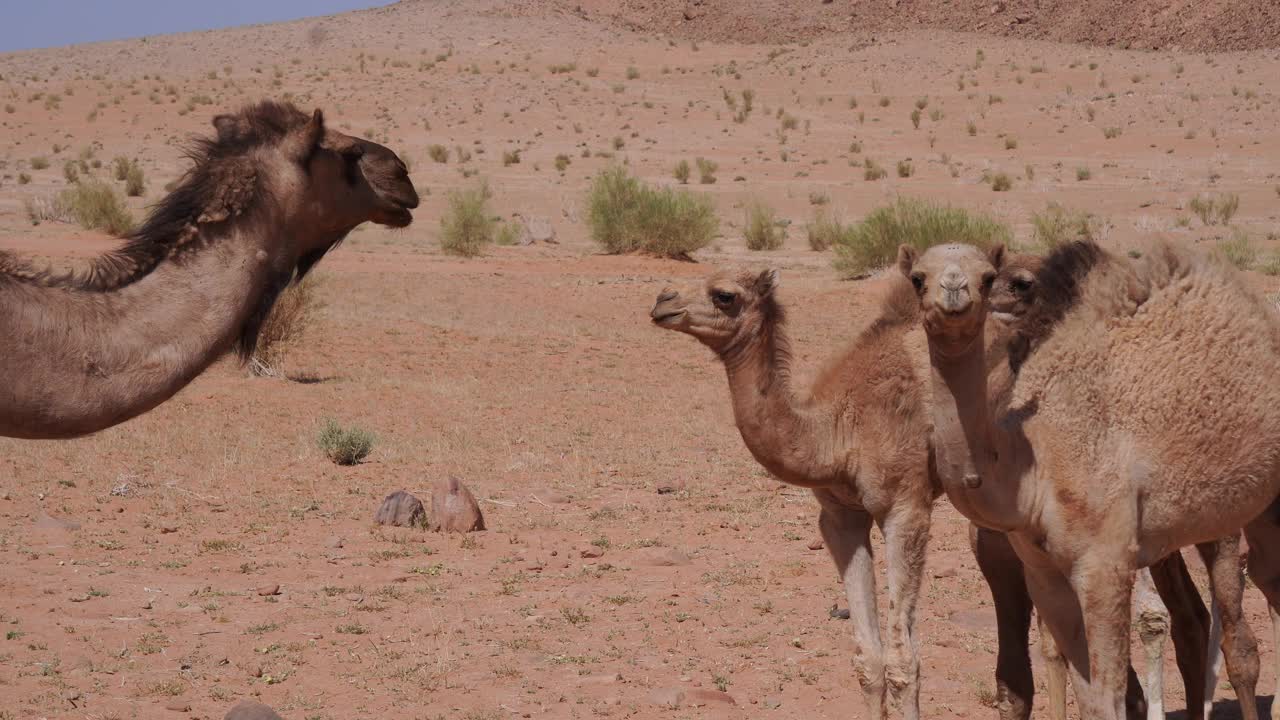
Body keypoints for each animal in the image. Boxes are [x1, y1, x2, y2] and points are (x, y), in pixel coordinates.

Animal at [655, 265, 1213, 717]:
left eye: (724, 294)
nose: (663, 300)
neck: (837, 431)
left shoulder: (906, 505)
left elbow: (904, 662)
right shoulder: (839, 516)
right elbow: (867, 658)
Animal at [901, 237, 1280, 717]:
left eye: (988, 277)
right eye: (917, 278)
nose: (954, 291)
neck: (1032, 463)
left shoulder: (1105, 565)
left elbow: (1112, 695)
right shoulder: (1042, 571)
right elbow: (1085, 693)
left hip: (1226, 522)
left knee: (1240, 636)